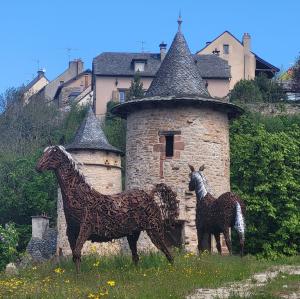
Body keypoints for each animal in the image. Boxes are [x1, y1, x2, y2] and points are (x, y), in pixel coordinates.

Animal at [36, 146, 179, 274]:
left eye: (52, 154)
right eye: (44, 153)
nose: (38, 167)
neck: (80, 198)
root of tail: (150, 195)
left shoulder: (85, 228)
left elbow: (77, 253)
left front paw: (79, 278)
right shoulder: (71, 232)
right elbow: (75, 256)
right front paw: (77, 277)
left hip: (154, 230)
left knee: (168, 253)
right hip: (133, 234)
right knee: (136, 257)